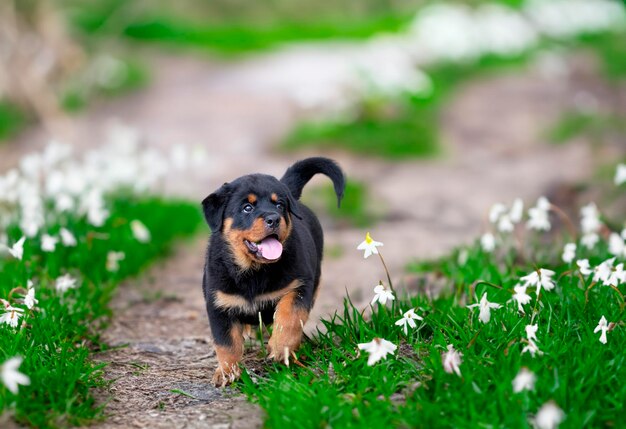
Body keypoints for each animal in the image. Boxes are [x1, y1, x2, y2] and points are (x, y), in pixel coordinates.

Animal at [200, 157, 344, 384]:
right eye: (247, 208)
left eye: (279, 205)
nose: (274, 218)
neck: (254, 271)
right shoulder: (218, 304)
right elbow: (226, 343)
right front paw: (226, 372)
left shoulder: (299, 286)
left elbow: (289, 317)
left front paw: (280, 347)